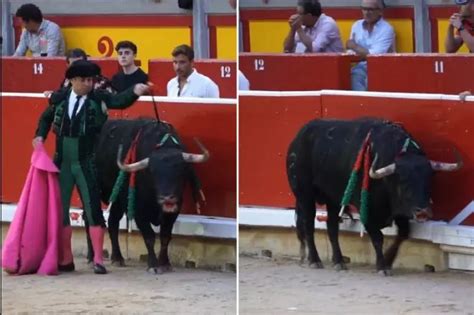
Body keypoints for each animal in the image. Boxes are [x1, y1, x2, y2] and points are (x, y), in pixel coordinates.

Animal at [84, 119, 209, 274]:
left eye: (181, 171)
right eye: (152, 172)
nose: (167, 198)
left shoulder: (174, 210)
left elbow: (165, 236)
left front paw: (165, 263)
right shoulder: (138, 211)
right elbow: (149, 236)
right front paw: (153, 265)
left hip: (118, 201)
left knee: (113, 222)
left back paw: (117, 258)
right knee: (89, 219)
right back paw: (91, 257)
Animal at [286, 117, 462, 276]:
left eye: (429, 178)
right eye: (403, 181)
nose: (423, 211)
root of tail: (298, 137)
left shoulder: (399, 209)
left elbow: (403, 233)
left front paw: (389, 259)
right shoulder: (367, 210)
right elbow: (378, 237)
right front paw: (382, 266)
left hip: (333, 199)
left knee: (332, 227)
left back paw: (339, 262)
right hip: (305, 195)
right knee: (308, 225)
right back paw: (314, 260)